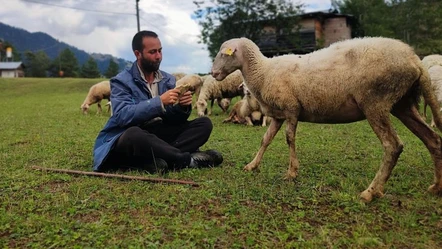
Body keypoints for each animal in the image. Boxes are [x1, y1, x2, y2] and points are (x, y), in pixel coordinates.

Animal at [211, 36, 442, 202]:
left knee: (393, 146)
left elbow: (289, 138)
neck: (262, 71)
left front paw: (292, 172)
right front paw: (252, 165)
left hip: (376, 103)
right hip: (403, 104)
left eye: (224, 53)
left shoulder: (292, 109)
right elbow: (265, 140)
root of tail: (415, 59)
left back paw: (371, 192)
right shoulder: (278, 114)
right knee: (433, 140)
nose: (213, 73)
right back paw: (436, 187)